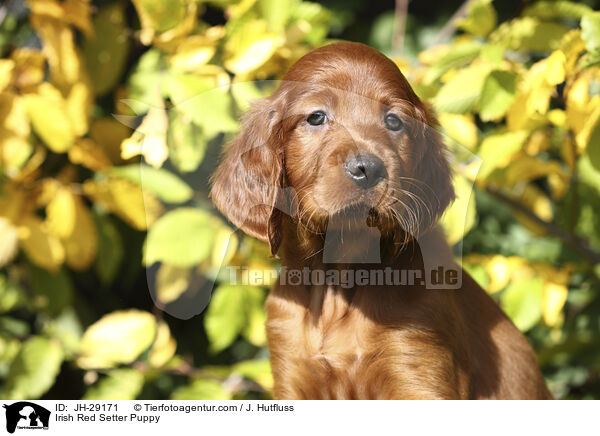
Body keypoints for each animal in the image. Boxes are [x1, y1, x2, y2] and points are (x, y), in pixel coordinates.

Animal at [211, 41, 552, 398]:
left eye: (393, 121)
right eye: (316, 117)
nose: (368, 169)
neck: (340, 280)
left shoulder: (417, 368)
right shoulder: (292, 373)